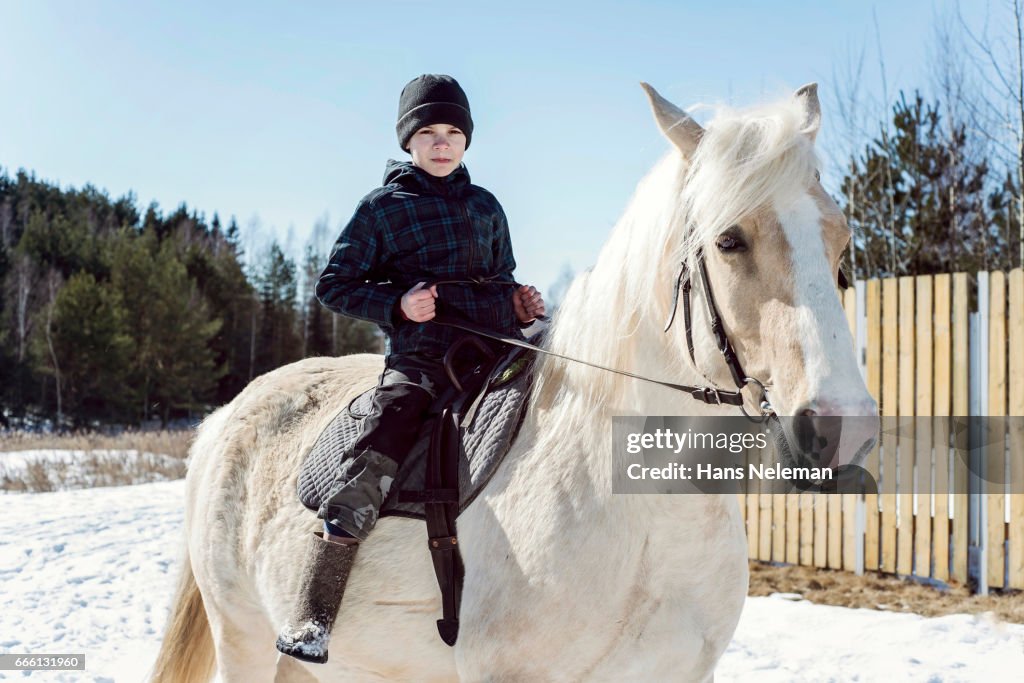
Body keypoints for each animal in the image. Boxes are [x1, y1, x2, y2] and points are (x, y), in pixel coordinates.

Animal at [151, 81, 878, 683]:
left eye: (840, 240)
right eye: (729, 240)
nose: (843, 425)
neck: (637, 511)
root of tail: (227, 417)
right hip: (243, 637)